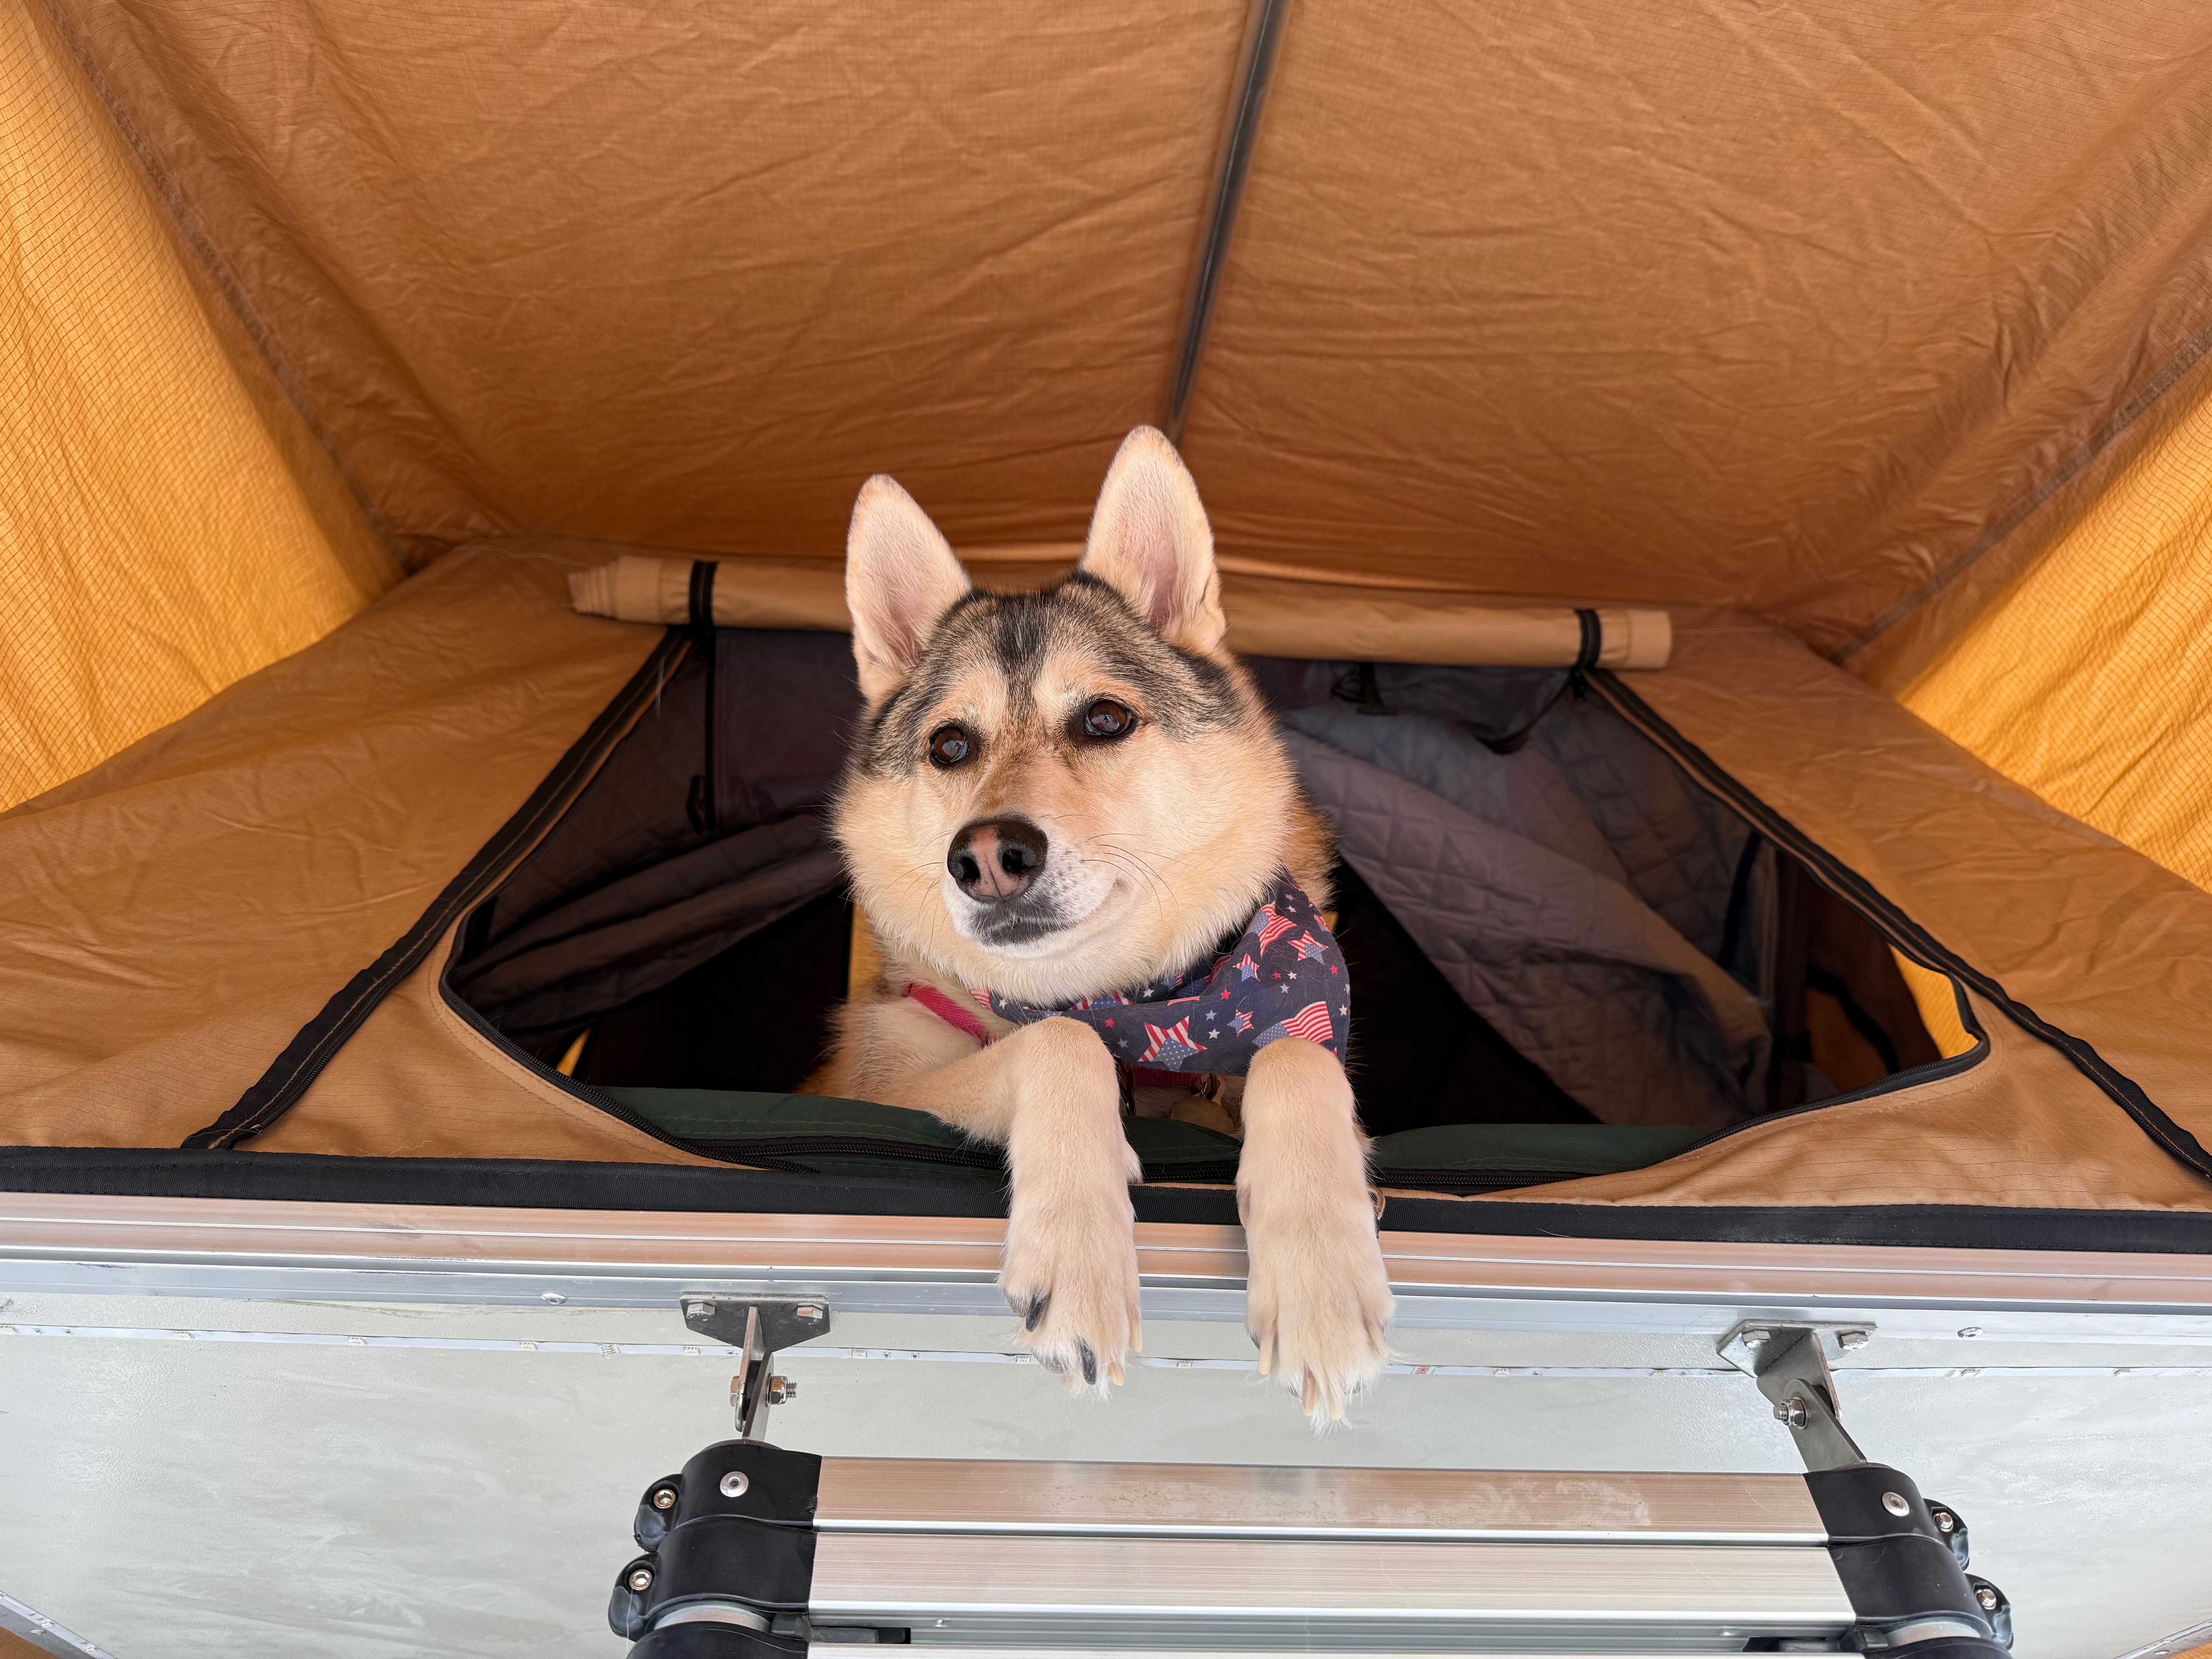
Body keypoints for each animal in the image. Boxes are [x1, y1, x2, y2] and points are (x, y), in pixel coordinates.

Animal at [806, 426, 1392, 1422]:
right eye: (950, 745)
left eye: (1105, 719)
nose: (987, 856)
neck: (1133, 1003)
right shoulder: (892, 1086)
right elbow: (1059, 1043)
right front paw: (1077, 1263)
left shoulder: (1297, 1025)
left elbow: (1295, 1059)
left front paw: (1322, 1282)